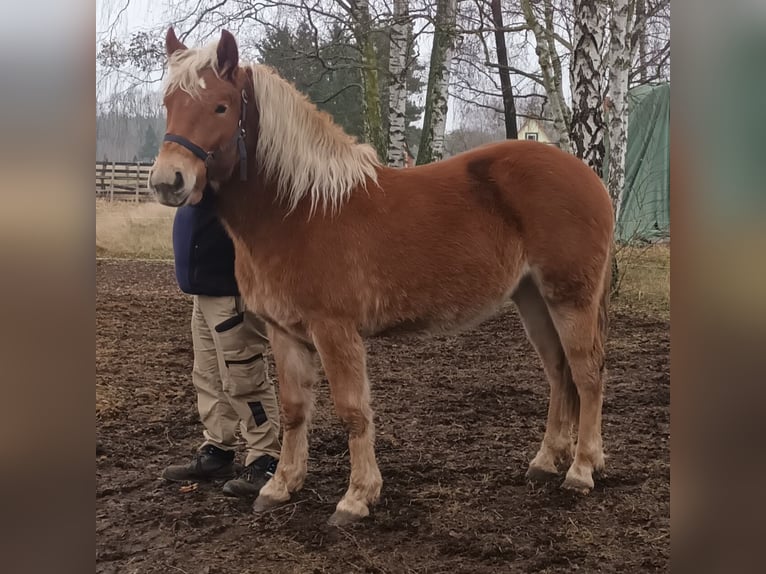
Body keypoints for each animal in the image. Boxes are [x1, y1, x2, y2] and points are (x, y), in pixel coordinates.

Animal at [149, 28, 614, 526]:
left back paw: (582, 470)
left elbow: (353, 411)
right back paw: (546, 461)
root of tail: (588, 176)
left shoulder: (335, 330)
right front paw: (280, 486)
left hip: (570, 298)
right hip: (532, 298)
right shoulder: (284, 332)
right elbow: (293, 410)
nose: (167, 181)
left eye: (220, 106)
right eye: (169, 103)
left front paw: (357, 497)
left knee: (587, 374)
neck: (300, 209)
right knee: (559, 372)